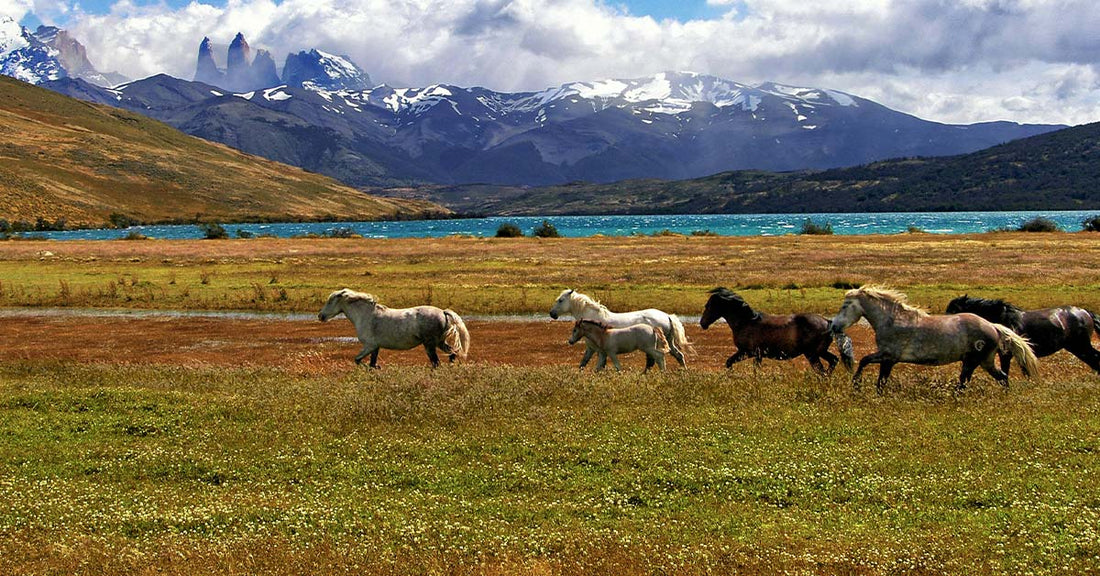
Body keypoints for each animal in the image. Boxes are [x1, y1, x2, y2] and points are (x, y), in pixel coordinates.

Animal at [318, 288, 470, 368]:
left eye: (330, 301)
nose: (320, 316)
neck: (366, 315)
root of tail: (443, 312)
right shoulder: (375, 347)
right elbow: (371, 364)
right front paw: (376, 369)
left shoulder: (369, 346)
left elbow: (358, 360)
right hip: (439, 342)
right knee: (453, 352)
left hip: (430, 344)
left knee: (436, 362)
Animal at [549, 289, 693, 369]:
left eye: (561, 300)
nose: (552, 314)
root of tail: (667, 316)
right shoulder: (594, 349)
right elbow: (584, 363)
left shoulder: (593, 348)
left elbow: (592, 364)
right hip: (668, 342)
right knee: (678, 356)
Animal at [700, 287, 853, 374]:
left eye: (708, 306)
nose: (702, 323)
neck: (746, 322)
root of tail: (828, 322)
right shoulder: (753, 354)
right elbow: (730, 363)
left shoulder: (750, 353)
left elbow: (736, 365)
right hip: (820, 352)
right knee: (833, 361)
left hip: (812, 354)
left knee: (822, 370)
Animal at [830, 286, 1038, 393]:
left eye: (845, 305)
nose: (834, 326)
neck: (892, 321)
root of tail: (993, 326)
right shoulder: (887, 358)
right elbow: (874, 373)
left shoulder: (888, 357)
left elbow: (871, 369)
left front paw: (857, 385)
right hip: (984, 362)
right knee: (1001, 377)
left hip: (973, 361)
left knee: (966, 382)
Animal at [946, 295, 1100, 374]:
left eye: (953, 311)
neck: (1002, 319)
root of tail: (1085, 312)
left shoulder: (1006, 354)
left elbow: (1005, 372)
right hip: (1076, 348)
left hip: (1081, 346)